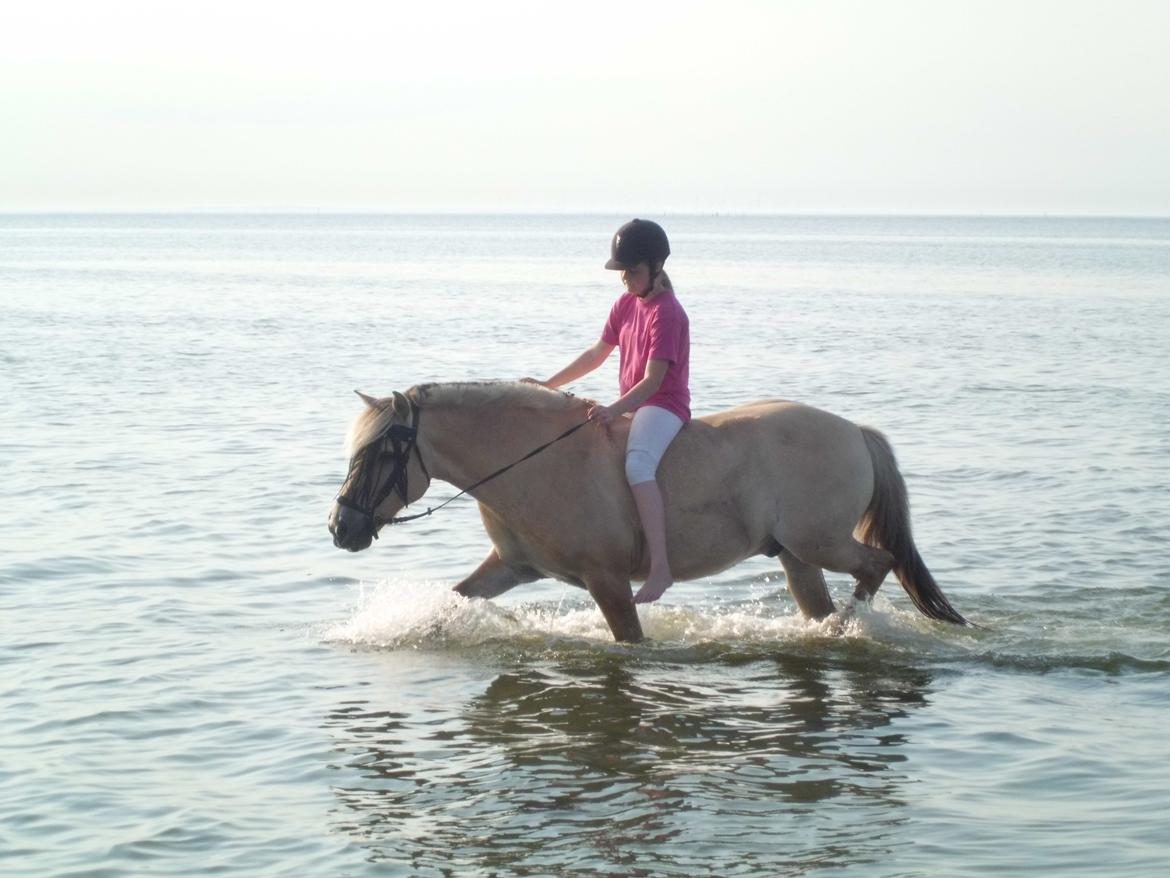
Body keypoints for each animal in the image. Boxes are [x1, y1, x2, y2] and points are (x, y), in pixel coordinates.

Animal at [329, 381, 968, 641]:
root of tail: (855, 432)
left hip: (822, 542)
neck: (533, 461)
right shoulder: (513, 568)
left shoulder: (608, 581)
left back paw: (849, 628)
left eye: (383, 450)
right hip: (796, 556)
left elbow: (630, 641)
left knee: (877, 563)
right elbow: (451, 603)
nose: (342, 528)